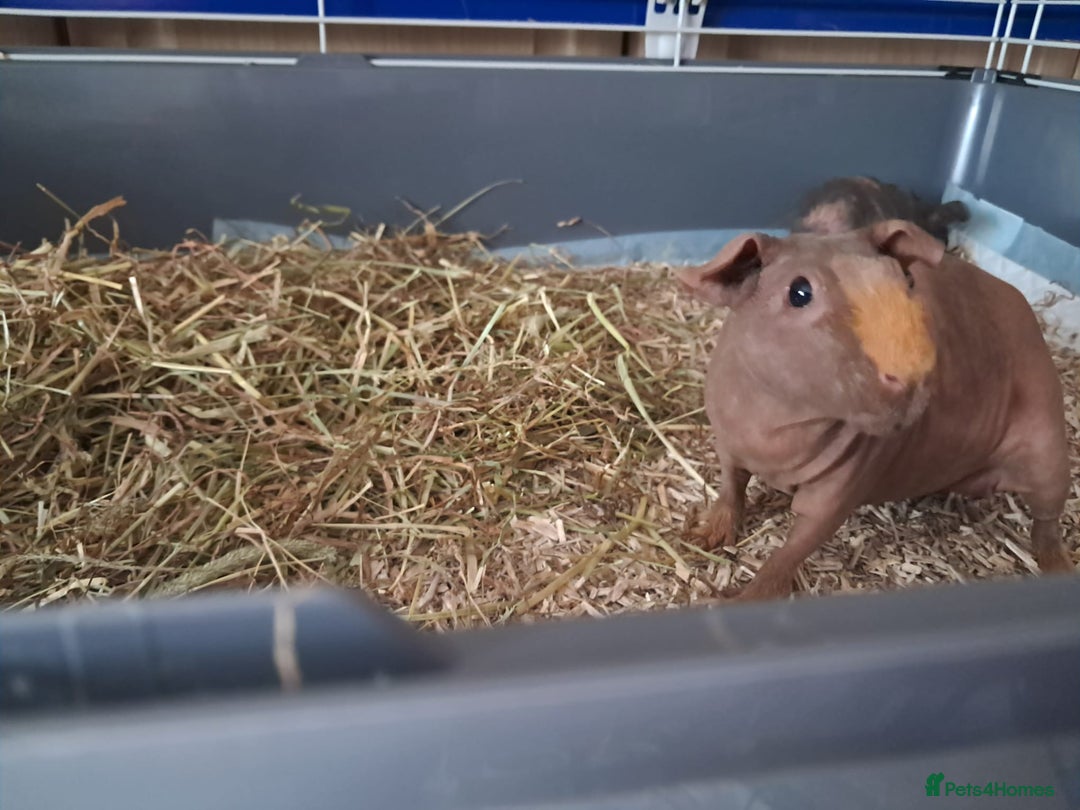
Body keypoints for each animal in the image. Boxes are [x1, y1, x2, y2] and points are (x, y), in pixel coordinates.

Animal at [676, 219, 1075, 601]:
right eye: (799, 292)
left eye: (907, 281)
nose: (914, 373)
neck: (779, 425)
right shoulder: (728, 444)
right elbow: (731, 487)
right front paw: (701, 536)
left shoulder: (839, 489)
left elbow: (793, 548)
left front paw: (731, 600)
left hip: (1047, 452)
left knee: (1048, 520)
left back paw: (1058, 567)